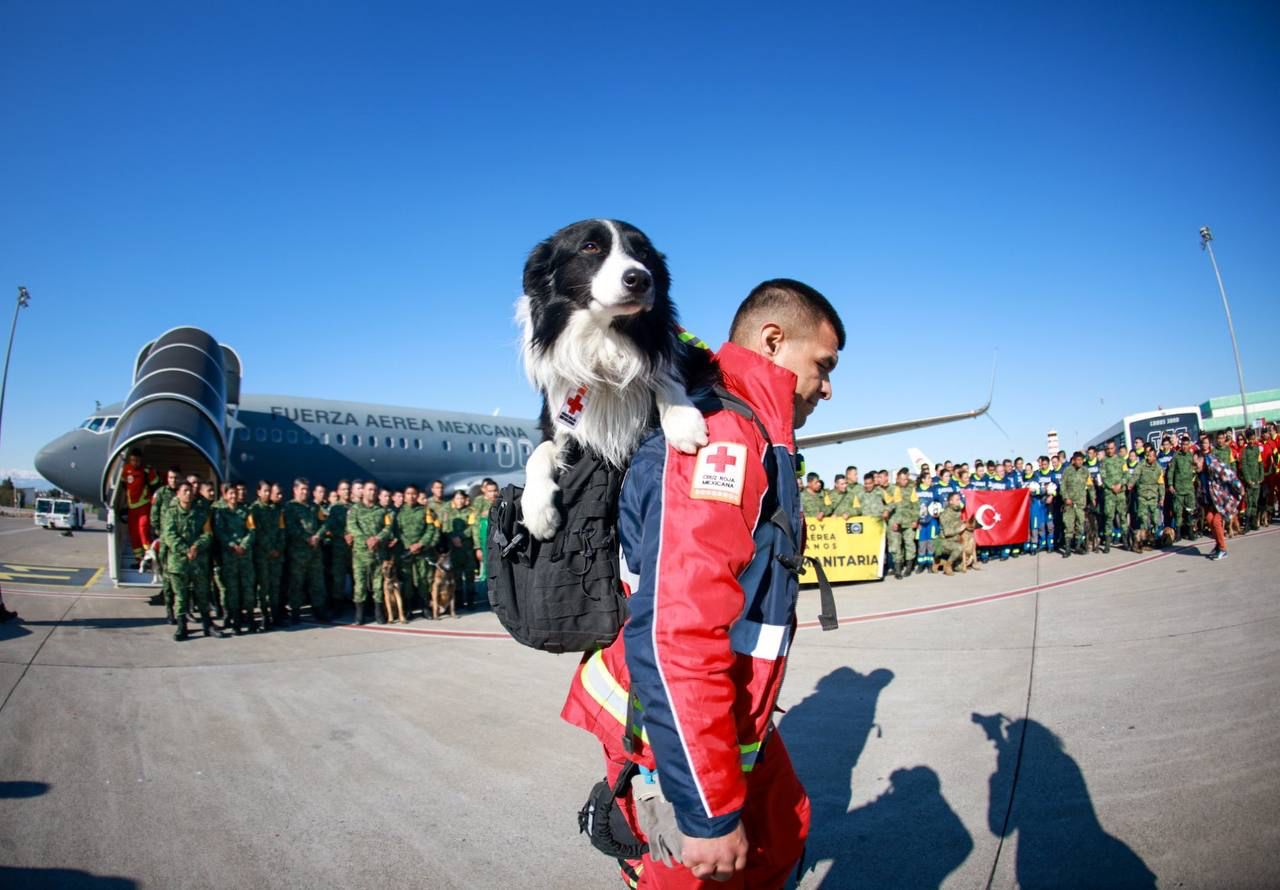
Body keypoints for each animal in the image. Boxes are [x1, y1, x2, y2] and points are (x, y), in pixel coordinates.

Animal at [514, 221, 711, 542]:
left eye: (643, 253)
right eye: (590, 247)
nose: (640, 279)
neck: (604, 339)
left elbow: (664, 374)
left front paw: (683, 420)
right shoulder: (555, 416)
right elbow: (538, 453)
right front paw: (538, 510)